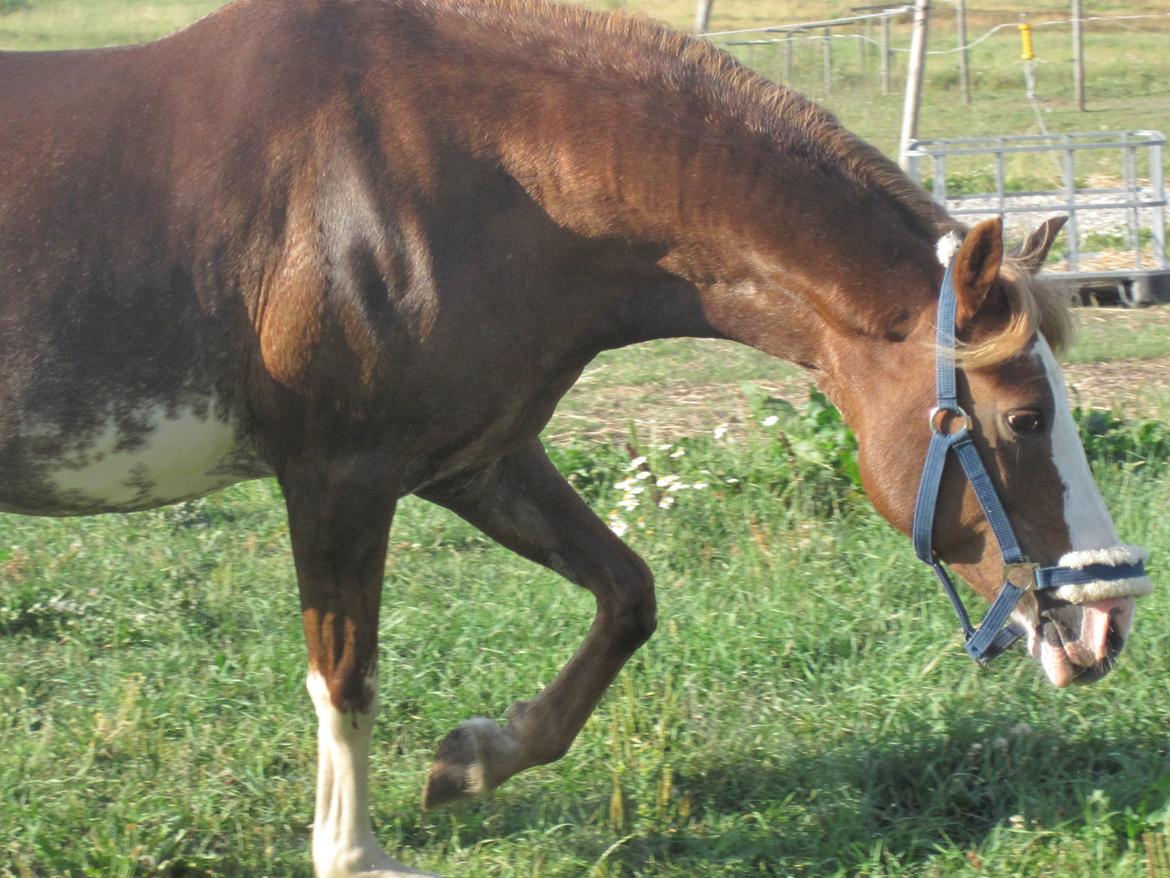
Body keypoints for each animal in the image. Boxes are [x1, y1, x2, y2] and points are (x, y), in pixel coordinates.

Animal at [0, 1, 1151, 878]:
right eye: (1024, 418)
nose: (1106, 624)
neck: (427, 174)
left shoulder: (478, 461)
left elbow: (628, 595)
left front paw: (473, 757)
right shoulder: (338, 478)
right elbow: (347, 674)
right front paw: (353, 849)